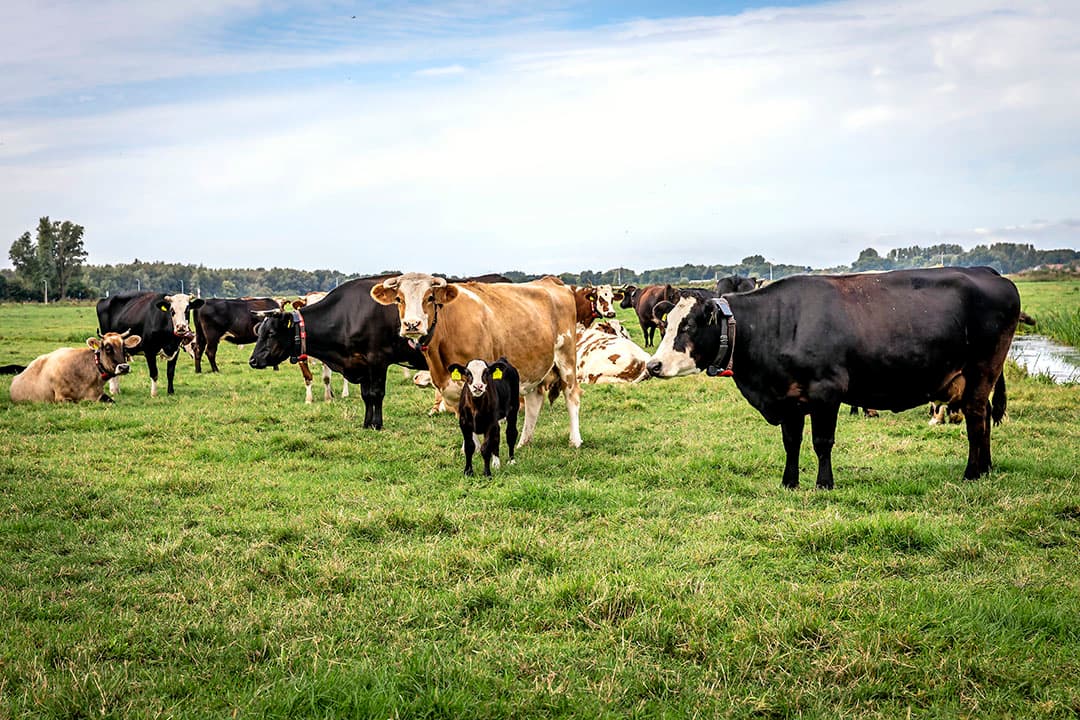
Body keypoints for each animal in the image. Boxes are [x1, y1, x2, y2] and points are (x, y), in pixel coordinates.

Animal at [248, 277, 427, 429]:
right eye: (260, 331)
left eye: (271, 333)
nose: (253, 360)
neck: (349, 315)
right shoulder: (362, 364)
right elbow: (366, 395)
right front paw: (367, 424)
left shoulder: (378, 361)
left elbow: (377, 393)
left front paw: (377, 424)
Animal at [370, 273, 582, 448]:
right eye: (399, 299)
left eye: (430, 298)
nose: (412, 324)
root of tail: (550, 280)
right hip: (533, 368)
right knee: (534, 402)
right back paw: (524, 442)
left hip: (566, 359)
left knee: (571, 396)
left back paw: (575, 441)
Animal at [645, 267, 1023, 488]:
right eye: (667, 323)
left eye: (689, 326)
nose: (653, 366)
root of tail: (989, 273)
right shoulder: (788, 397)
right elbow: (792, 442)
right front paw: (789, 482)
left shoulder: (826, 392)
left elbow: (821, 442)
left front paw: (823, 483)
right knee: (984, 419)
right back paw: (986, 468)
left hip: (980, 374)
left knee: (976, 420)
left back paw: (972, 472)